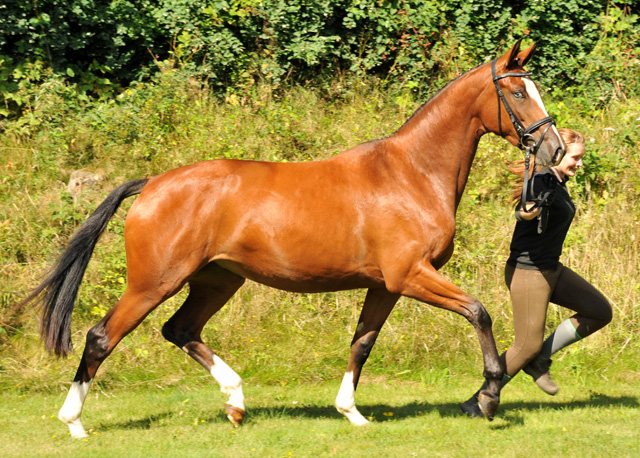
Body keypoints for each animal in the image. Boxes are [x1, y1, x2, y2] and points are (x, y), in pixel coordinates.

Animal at [21, 39, 560, 436]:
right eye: (517, 93)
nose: (554, 147)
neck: (411, 174)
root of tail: (152, 184)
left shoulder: (385, 285)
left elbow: (362, 344)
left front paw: (351, 412)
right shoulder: (410, 276)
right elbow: (479, 311)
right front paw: (489, 396)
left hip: (217, 280)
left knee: (181, 330)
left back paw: (236, 402)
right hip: (154, 282)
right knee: (102, 336)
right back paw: (74, 422)